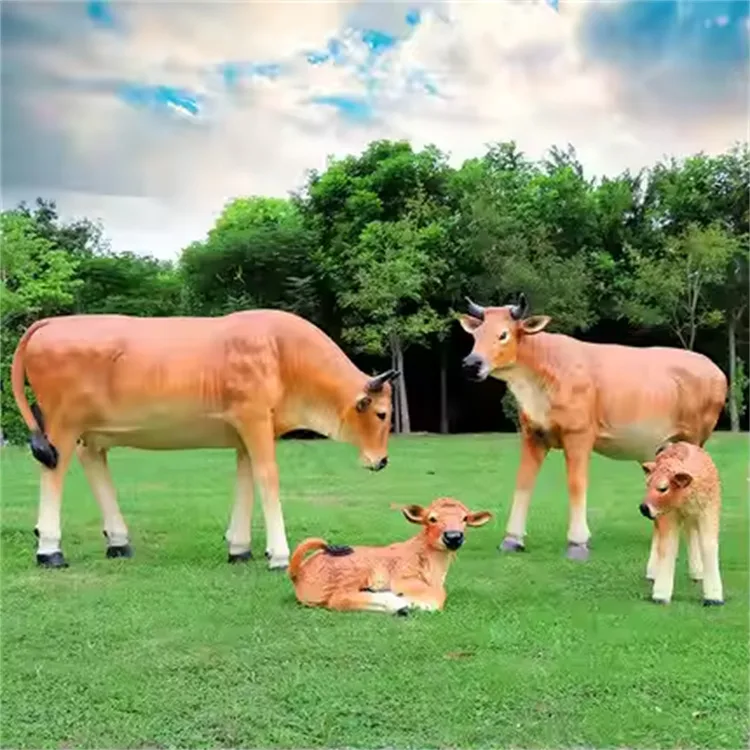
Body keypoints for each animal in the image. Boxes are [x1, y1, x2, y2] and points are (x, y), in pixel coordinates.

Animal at [10, 310, 400, 570]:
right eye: (382, 414)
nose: (381, 461)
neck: (282, 352)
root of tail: (51, 322)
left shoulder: (245, 433)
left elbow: (246, 480)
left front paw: (239, 548)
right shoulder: (254, 419)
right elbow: (267, 478)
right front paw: (278, 554)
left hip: (92, 431)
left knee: (92, 462)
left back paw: (119, 541)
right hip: (62, 424)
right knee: (54, 470)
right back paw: (50, 550)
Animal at [287, 497, 493, 615]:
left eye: (465, 518)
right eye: (432, 519)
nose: (453, 537)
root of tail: (298, 572)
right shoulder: (403, 578)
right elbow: (439, 595)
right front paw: (417, 604)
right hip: (351, 573)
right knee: (339, 599)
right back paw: (399, 605)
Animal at [459, 294, 727, 562]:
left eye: (503, 334)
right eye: (476, 334)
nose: (472, 363)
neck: (540, 377)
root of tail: (717, 371)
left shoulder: (579, 434)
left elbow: (576, 484)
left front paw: (577, 542)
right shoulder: (533, 434)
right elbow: (523, 483)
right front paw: (512, 539)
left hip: (694, 436)